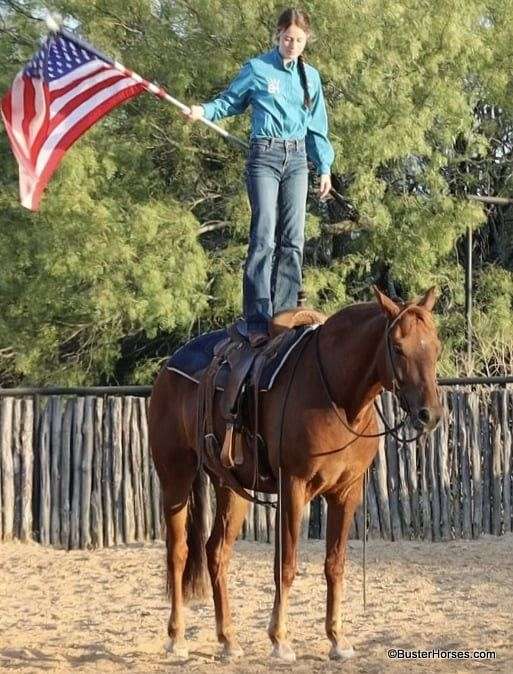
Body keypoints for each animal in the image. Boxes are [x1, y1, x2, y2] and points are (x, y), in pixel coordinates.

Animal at [147, 286, 440, 660]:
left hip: (232, 487)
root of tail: (170, 366)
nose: (429, 414)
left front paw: (337, 639)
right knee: (178, 552)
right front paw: (280, 640)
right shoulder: (294, 487)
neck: (336, 395)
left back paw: (228, 640)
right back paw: (177, 638)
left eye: (436, 347)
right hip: (175, 476)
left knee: (216, 552)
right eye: (399, 347)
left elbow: (335, 564)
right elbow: (286, 564)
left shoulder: (347, 492)